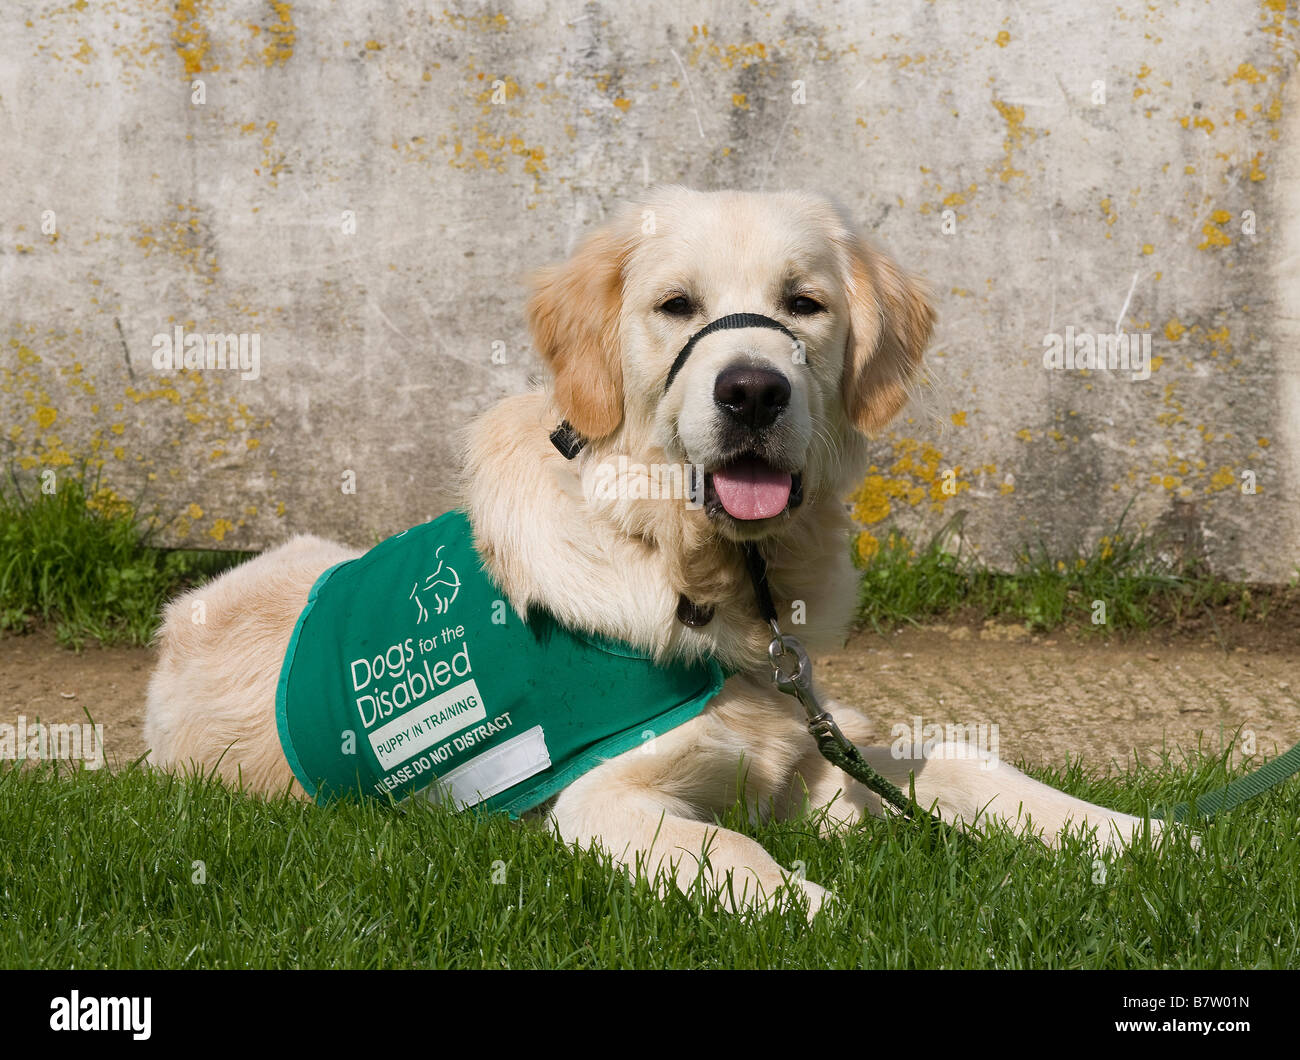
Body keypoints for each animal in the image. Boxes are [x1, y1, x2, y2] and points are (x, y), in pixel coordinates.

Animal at [147, 185, 1164, 915]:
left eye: (805, 304)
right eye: (676, 306)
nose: (751, 391)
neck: (700, 575)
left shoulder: (814, 748)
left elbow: (970, 763)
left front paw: (1148, 836)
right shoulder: (602, 797)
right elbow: (745, 859)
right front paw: (820, 910)